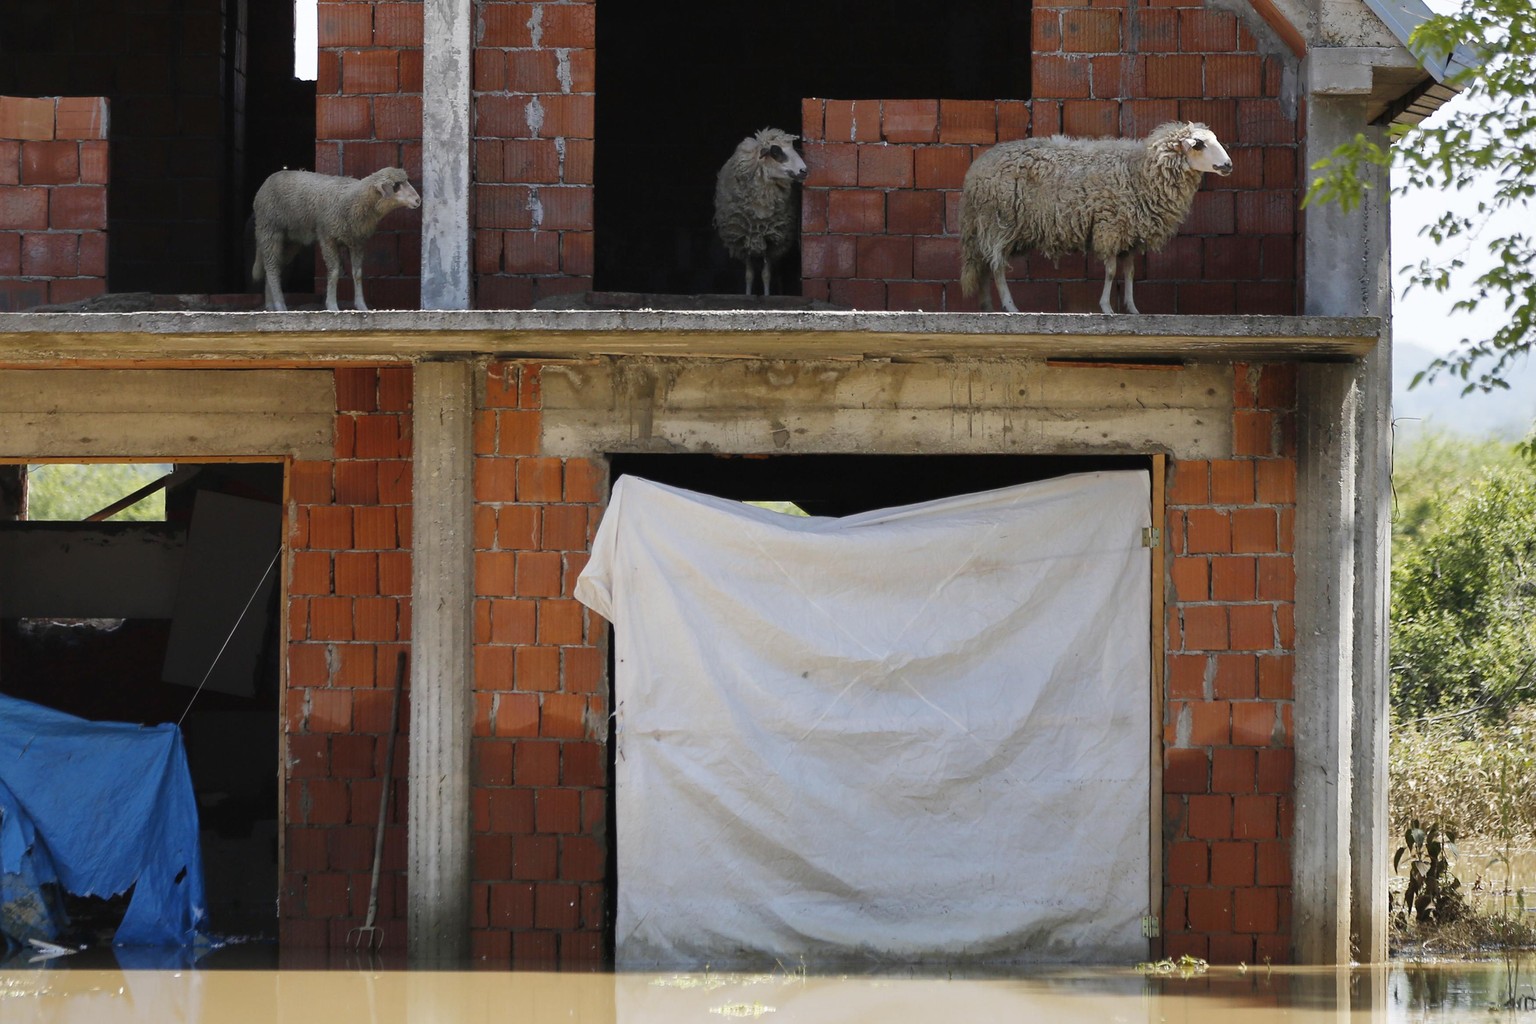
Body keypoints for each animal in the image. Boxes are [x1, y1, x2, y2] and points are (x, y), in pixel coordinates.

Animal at [253, 166, 423, 313]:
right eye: (396, 185)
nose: (418, 200)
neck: (353, 200)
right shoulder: (327, 237)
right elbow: (334, 272)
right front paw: (332, 306)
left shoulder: (357, 242)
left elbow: (357, 273)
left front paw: (362, 306)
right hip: (269, 229)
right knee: (271, 267)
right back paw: (280, 306)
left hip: (291, 241)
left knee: (275, 267)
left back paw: (271, 306)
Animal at [709, 127, 811, 296]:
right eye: (776, 151)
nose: (804, 171)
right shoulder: (743, 240)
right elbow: (749, 275)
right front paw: (748, 295)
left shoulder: (771, 241)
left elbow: (766, 274)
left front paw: (767, 296)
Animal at [958, 120, 1234, 314]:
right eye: (1199, 144)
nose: (1228, 165)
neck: (1138, 170)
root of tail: (974, 171)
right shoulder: (1110, 226)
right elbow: (1111, 271)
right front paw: (1107, 307)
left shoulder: (1129, 233)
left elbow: (1129, 272)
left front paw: (1133, 308)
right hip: (997, 222)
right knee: (996, 266)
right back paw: (1010, 306)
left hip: (986, 226)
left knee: (984, 265)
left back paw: (987, 307)